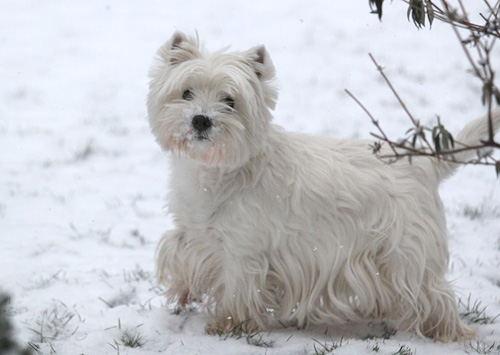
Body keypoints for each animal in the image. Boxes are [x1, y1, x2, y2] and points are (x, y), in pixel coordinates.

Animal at [148, 32, 500, 344]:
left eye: (230, 101)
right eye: (186, 93)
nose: (201, 120)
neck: (214, 173)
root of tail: (426, 164)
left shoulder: (243, 251)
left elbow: (238, 290)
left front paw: (228, 324)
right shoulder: (195, 234)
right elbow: (184, 259)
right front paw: (183, 292)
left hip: (407, 253)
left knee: (434, 293)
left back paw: (448, 333)